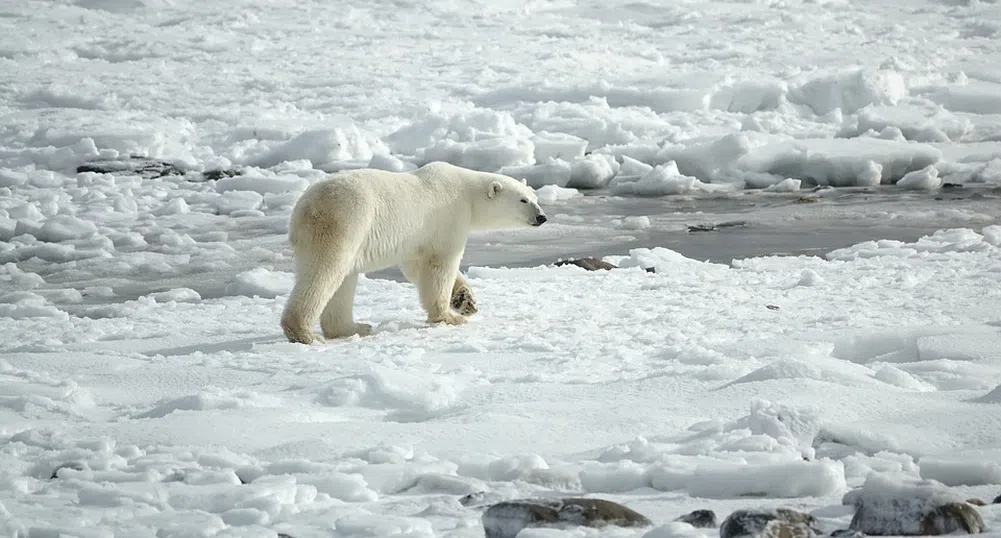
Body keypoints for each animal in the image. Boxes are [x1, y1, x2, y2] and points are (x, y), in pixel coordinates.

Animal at [280, 160, 548, 344]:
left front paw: (465, 301)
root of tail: (303, 209)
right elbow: (440, 265)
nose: (542, 217)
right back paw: (305, 333)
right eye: (523, 200)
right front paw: (449, 316)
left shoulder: (417, 238)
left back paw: (355, 327)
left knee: (344, 279)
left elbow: (416, 267)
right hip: (344, 222)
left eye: (534, 197)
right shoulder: (449, 217)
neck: (468, 193)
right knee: (325, 272)